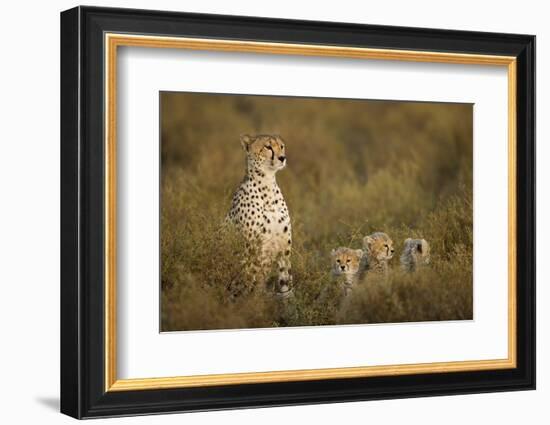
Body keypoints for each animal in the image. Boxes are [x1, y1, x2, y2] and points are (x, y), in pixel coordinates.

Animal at [226, 134, 294, 296]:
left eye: (281, 146)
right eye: (268, 147)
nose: (283, 158)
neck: (267, 185)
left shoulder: (284, 249)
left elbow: (286, 284)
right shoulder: (250, 249)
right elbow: (249, 280)